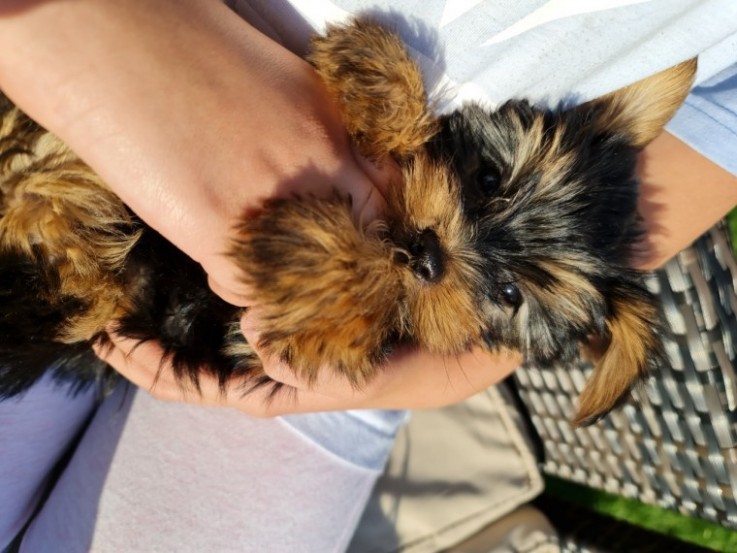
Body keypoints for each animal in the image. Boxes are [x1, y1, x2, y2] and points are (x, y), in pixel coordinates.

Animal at [0, 17, 696, 422]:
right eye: (489, 179)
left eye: (508, 294)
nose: (428, 255)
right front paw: (377, 79)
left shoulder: (270, 346)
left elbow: (354, 321)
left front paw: (306, 256)